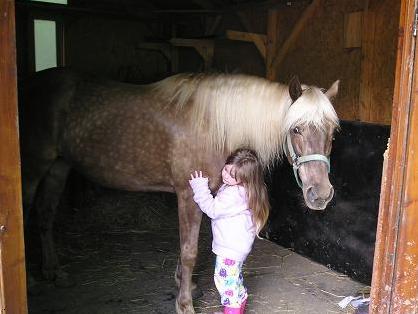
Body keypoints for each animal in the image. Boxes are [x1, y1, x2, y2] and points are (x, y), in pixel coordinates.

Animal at [19, 67, 340, 312]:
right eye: (296, 129)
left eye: (333, 132)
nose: (321, 194)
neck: (212, 124)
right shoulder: (188, 194)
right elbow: (189, 250)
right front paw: (184, 303)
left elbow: (188, 244)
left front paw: (186, 285)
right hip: (35, 168)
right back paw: (31, 283)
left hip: (59, 167)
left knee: (46, 214)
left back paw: (54, 272)